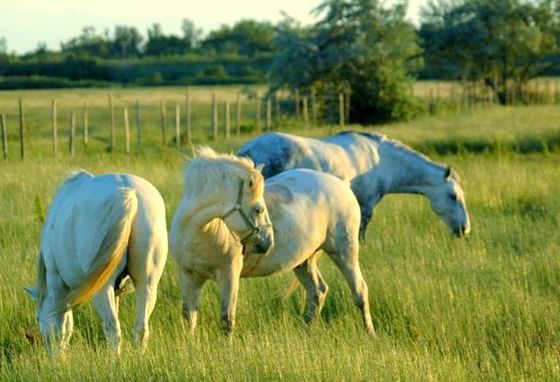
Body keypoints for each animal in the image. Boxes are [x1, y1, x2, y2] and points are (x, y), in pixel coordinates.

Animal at [26, 171, 166, 356]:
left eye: (37, 318)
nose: (49, 353)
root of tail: (130, 193)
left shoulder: (56, 283)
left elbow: (60, 326)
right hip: (147, 282)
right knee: (141, 329)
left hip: (102, 288)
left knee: (113, 329)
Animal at [168, 150, 374, 338]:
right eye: (259, 209)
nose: (269, 243)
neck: (198, 234)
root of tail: (343, 185)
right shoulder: (189, 276)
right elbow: (188, 317)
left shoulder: (229, 275)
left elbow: (227, 320)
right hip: (304, 261)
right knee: (318, 292)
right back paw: (305, 334)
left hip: (344, 253)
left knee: (360, 291)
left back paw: (370, 334)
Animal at [238, 131, 470, 239]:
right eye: (453, 196)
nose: (465, 229)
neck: (382, 161)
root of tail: (246, 149)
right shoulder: (366, 206)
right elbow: (361, 234)